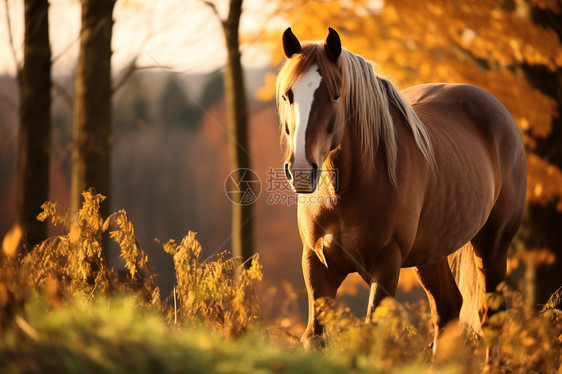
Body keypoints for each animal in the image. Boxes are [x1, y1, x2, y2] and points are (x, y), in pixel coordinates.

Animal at [276, 27, 524, 356]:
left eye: (335, 95)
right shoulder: (317, 263)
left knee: (489, 316)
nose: (302, 170)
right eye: (287, 95)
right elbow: (315, 335)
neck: (346, 191)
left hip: (493, 246)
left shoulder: (386, 265)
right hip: (431, 253)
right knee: (447, 310)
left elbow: (371, 334)